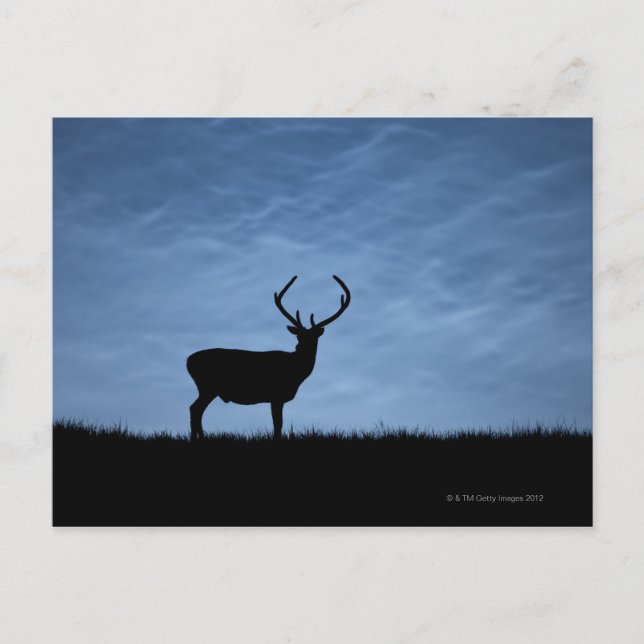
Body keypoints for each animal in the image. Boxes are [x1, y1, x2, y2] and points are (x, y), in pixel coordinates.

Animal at [186, 275, 351, 441]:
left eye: (314, 337)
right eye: (298, 336)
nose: (300, 347)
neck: (296, 373)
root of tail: (188, 361)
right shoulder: (276, 395)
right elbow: (278, 424)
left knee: (196, 409)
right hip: (208, 386)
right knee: (195, 408)